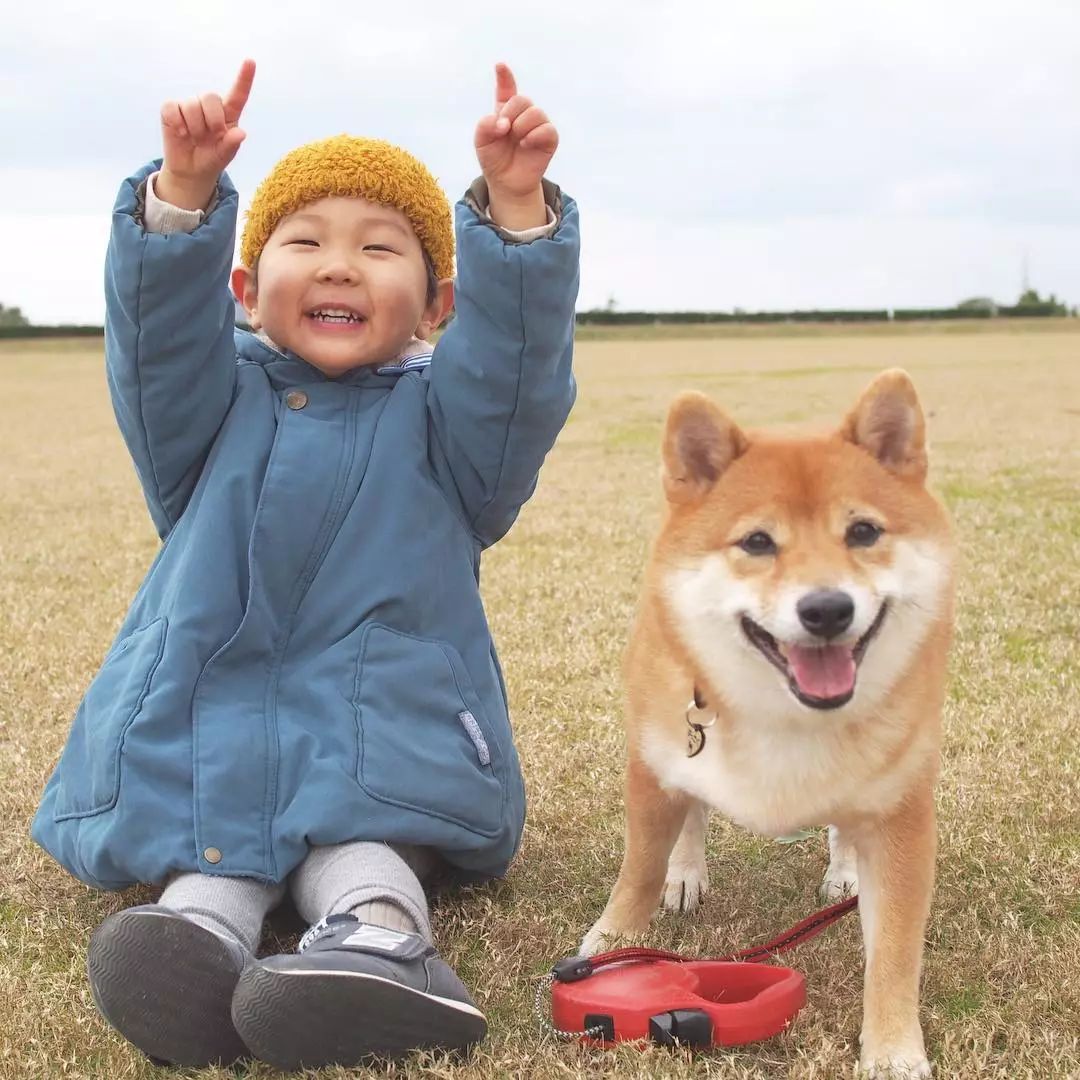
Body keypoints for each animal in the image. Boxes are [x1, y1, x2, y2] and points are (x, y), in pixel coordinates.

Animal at [583, 367, 954, 1075]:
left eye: (863, 533)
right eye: (758, 542)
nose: (827, 609)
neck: (785, 714)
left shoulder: (901, 817)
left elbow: (895, 950)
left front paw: (893, 1050)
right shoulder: (654, 769)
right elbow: (640, 865)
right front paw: (613, 941)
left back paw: (842, 869)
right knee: (694, 814)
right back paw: (686, 873)